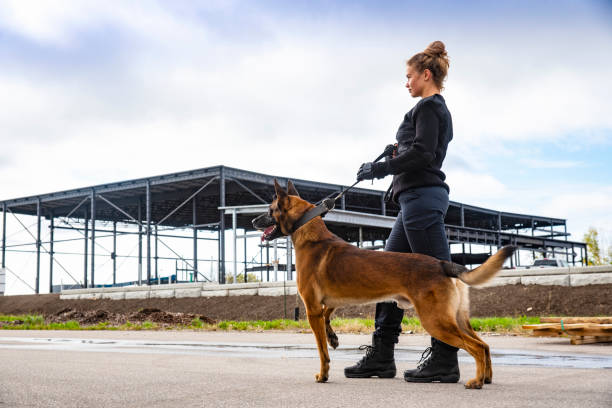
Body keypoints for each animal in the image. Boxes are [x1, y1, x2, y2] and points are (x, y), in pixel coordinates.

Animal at [251, 181, 512, 388]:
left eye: (270, 210)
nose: (253, 220)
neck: (310, 232)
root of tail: (442, 264)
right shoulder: (329, 302)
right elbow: (328, 318)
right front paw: (333, 337)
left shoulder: (311, 308)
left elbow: (321, 350)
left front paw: (323, 374)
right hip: (457, 318)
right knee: (484, 345)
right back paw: (486, 377)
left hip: (436, 320)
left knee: (475, 347)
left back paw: (475, 381)